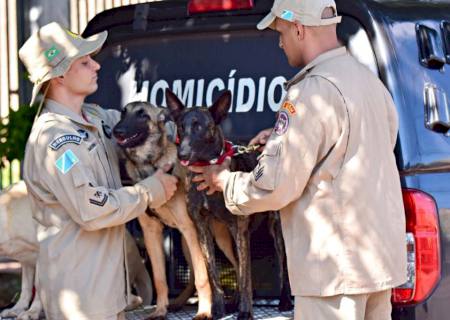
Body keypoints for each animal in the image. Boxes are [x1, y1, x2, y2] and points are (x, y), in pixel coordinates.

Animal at [0, 181, 153, 318]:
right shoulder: (26, 261)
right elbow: (26, 288)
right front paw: (17, 309)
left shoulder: (40, 255)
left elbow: (38, 290)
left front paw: (32, 312)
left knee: (134, 299)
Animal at [111, 103, 239, 320]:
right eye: (123, 113)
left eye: (143, 115)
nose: (117, 131)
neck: (151, 166)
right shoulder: (151, 233)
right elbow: (160, 279)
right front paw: (160, 310)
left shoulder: (189, 229)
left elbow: (203, 278)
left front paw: (204, 312)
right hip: (187, 244)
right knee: (193, 276)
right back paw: (179, 302)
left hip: (218, 240)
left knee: (235, 267)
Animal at [165, 88, 292, 320]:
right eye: (180, 126)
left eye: (199, 127)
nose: (182, 154)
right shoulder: (203, 228)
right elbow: (213, 273)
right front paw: (216, 308)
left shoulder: (239, 228)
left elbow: (245, 275)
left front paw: (246, 311)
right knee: (238, 264)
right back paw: (233, 301)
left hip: (274, 230)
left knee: (281, 266)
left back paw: (284, 299)